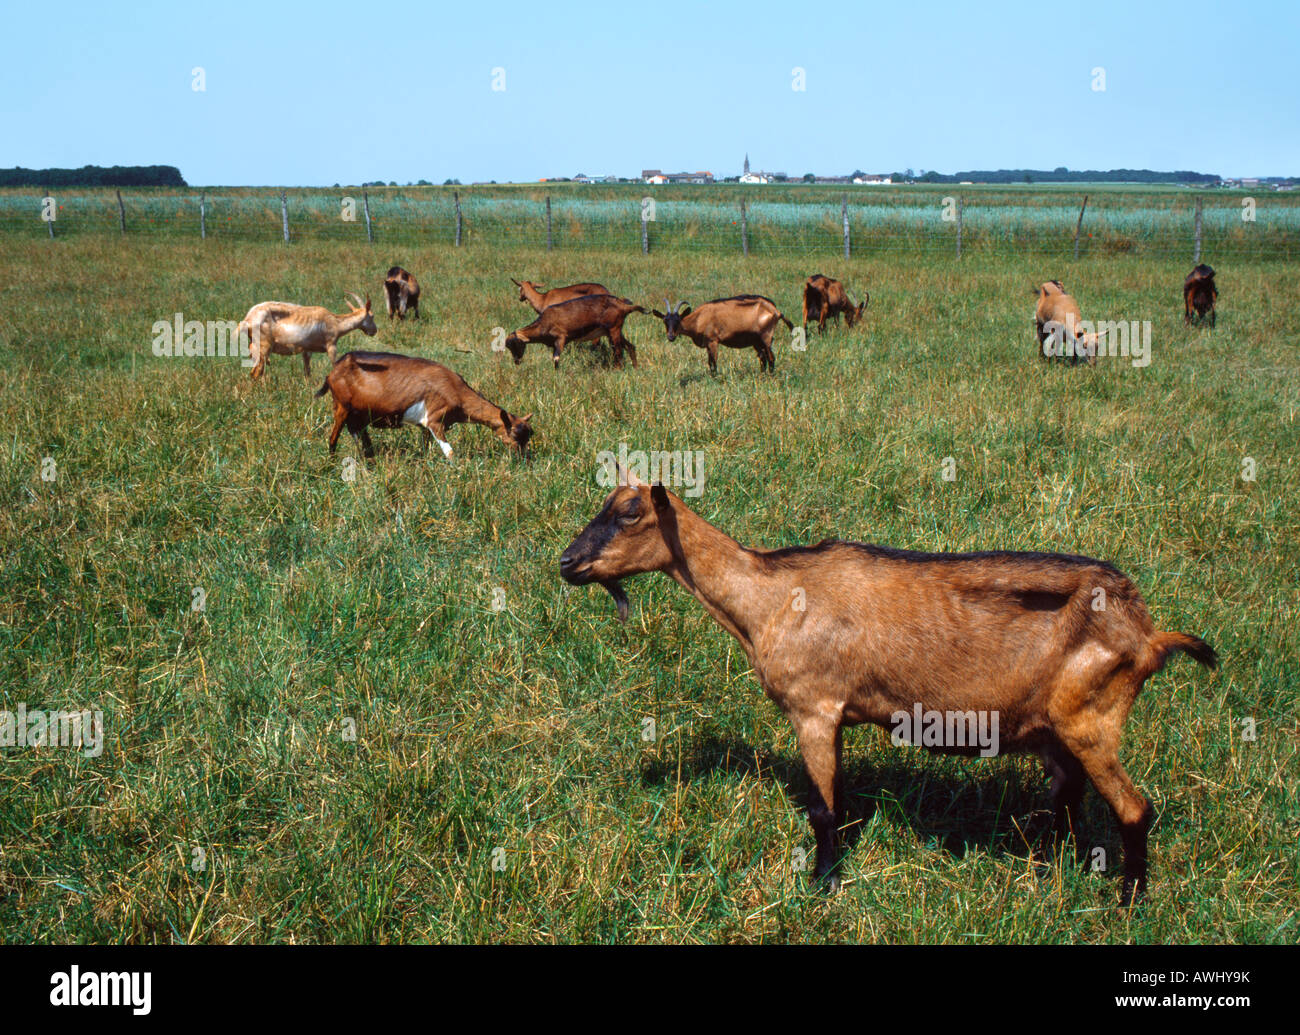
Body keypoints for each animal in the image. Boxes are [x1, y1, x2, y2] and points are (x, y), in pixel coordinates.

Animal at [239, 294, 377, 379]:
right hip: (264, 348)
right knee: (256, 372)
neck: (334, 321)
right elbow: (335, 365)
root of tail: (248, 318)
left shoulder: (307, 350)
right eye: (372, 315)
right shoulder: (331, 345)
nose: (374, 331)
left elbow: (307, 372)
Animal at [316, 350, 532, 459]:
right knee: (333, 439)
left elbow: (425, 449)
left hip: (358, 415)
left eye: (528, 435)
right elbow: (450, 453)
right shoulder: (435, 421)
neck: (454, 388)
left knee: (360, 437)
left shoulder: (425, 427)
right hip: (342, 408)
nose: (523, 459)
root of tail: (334, 370)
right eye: (514, 435)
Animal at [505, 294, 647, 369]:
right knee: (630, 346)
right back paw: (635, 368)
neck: (544, 322)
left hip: (614, 330)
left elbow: (556, 359)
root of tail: (624, 306)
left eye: (514, 344)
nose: (517, 361)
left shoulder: (561, 337)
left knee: (618, 352)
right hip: (614, 330)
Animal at [560, 473, 1217, 904]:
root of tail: (1148, 632)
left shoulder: (813, 708)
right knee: (1069, 792)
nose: (567, 563)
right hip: (1056, 725)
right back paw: (1057, 866)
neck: (768, 598)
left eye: (629, 514)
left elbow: (824, 810)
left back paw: (1128, 900)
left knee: (1134, 808)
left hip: (1092, 716)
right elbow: (840, 801)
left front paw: (822, 887)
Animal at [651, 295, 793, 373]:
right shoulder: (707, 344)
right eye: (665, 321)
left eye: (677, 321)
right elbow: (710, 363)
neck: (699, 318)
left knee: (771, 358)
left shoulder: (713, 341)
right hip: (756, 341)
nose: (670, 336)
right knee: (763, 358)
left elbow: (714, 362)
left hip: (766, 337)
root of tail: (776, 311)